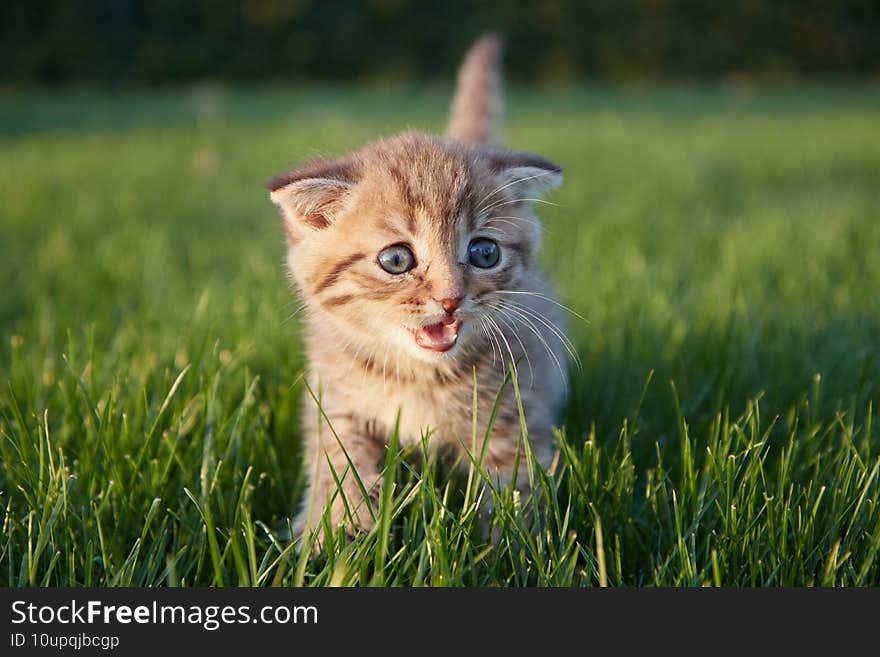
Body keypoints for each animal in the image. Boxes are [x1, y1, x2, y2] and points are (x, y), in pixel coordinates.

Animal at [268, 34, 572, 540]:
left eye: (484, 253)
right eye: (396, 260)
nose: (450, 298)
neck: (418, 377)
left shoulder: (516, 406)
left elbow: (514, 481)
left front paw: (510, 542)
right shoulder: (335, 399)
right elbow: (337, 463)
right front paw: (334, 530)